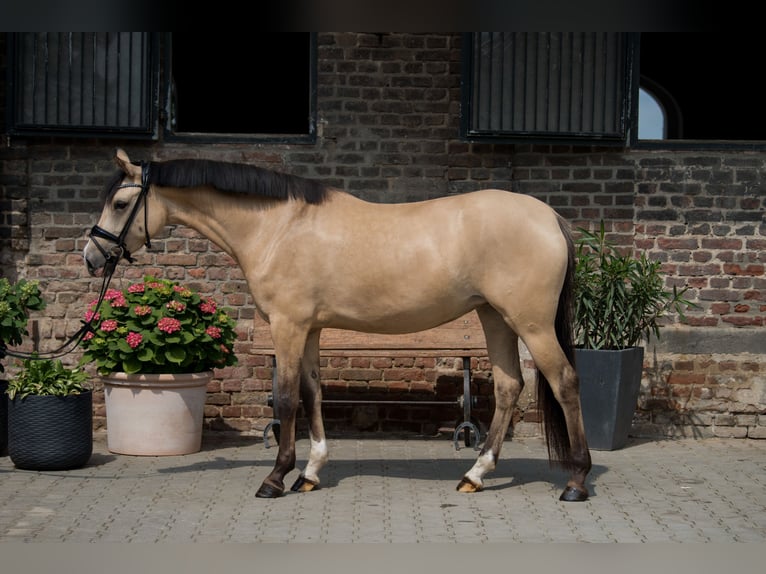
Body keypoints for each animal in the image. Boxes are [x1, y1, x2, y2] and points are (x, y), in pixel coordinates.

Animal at [84, 150, 596, 504]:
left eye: (121, 202)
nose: (92, 257)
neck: (279, 226)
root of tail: (549, 216)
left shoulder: (289, 326)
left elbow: (287, 398)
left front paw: (276, 478)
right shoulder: (310, 329)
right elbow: (313, 393)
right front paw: (309, 474)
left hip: (530, 322)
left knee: (565, 382)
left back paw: (575, 480)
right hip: (495, 317)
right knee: (511, 386)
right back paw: (475, 474)